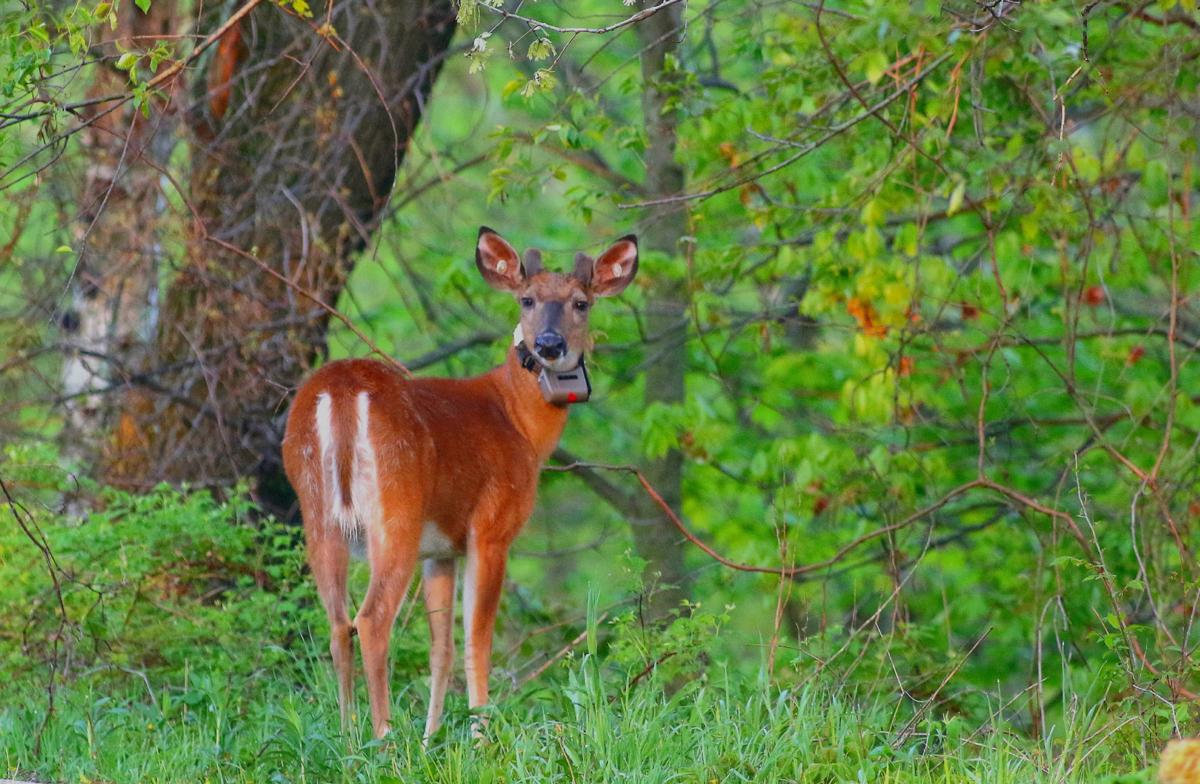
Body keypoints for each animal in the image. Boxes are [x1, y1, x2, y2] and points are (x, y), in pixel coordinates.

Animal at [281, 227, 638, 742]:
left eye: (581, 303)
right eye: (527, 299)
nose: (549, 344)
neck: (517, 421)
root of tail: (342, 390)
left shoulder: (441, 550)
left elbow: (441, 648)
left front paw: (433, 738)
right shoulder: (491, 529)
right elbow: (476, 638)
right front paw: (480, 735)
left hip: (317, 512)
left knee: (336, 624)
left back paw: (348, 736)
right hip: (397, 510)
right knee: (371, 620)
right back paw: (384, 739)